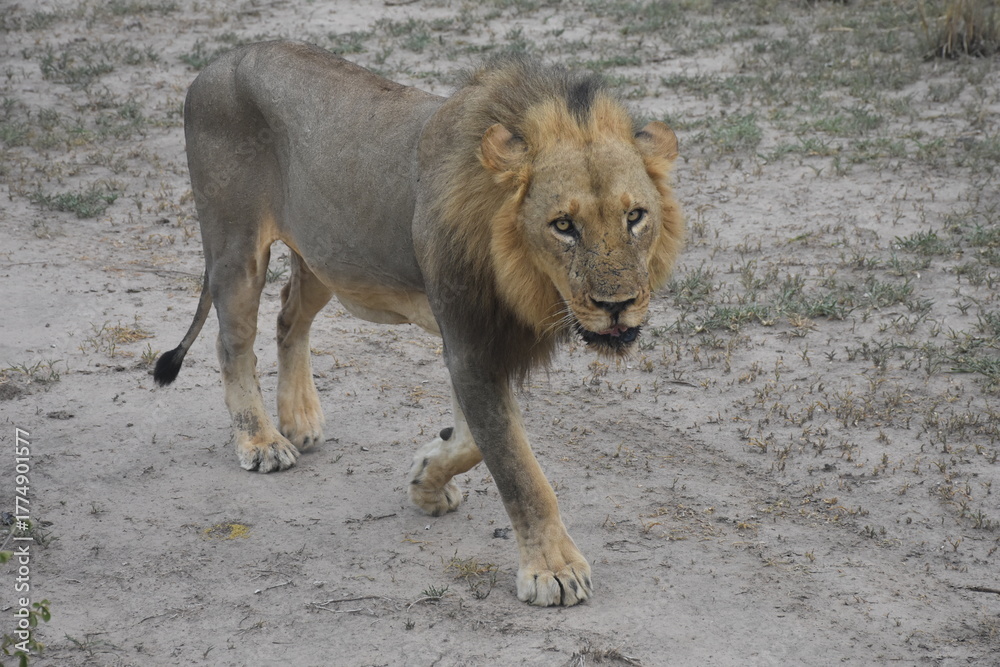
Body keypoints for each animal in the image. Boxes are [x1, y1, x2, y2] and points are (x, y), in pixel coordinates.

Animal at [154, 41, 684, 607]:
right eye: (564, 225)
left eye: (635, 217)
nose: (618, 304)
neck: (523, 275)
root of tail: (217, 62)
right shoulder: (469, 345)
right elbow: (517, 468)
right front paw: (553, 570)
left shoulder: (472, 343)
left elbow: (472, 441)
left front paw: (428, 476)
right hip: (236, 249)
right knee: (233, 342)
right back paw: (261, 442)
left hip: (326, 256)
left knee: (288, 316)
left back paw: (299, 420)